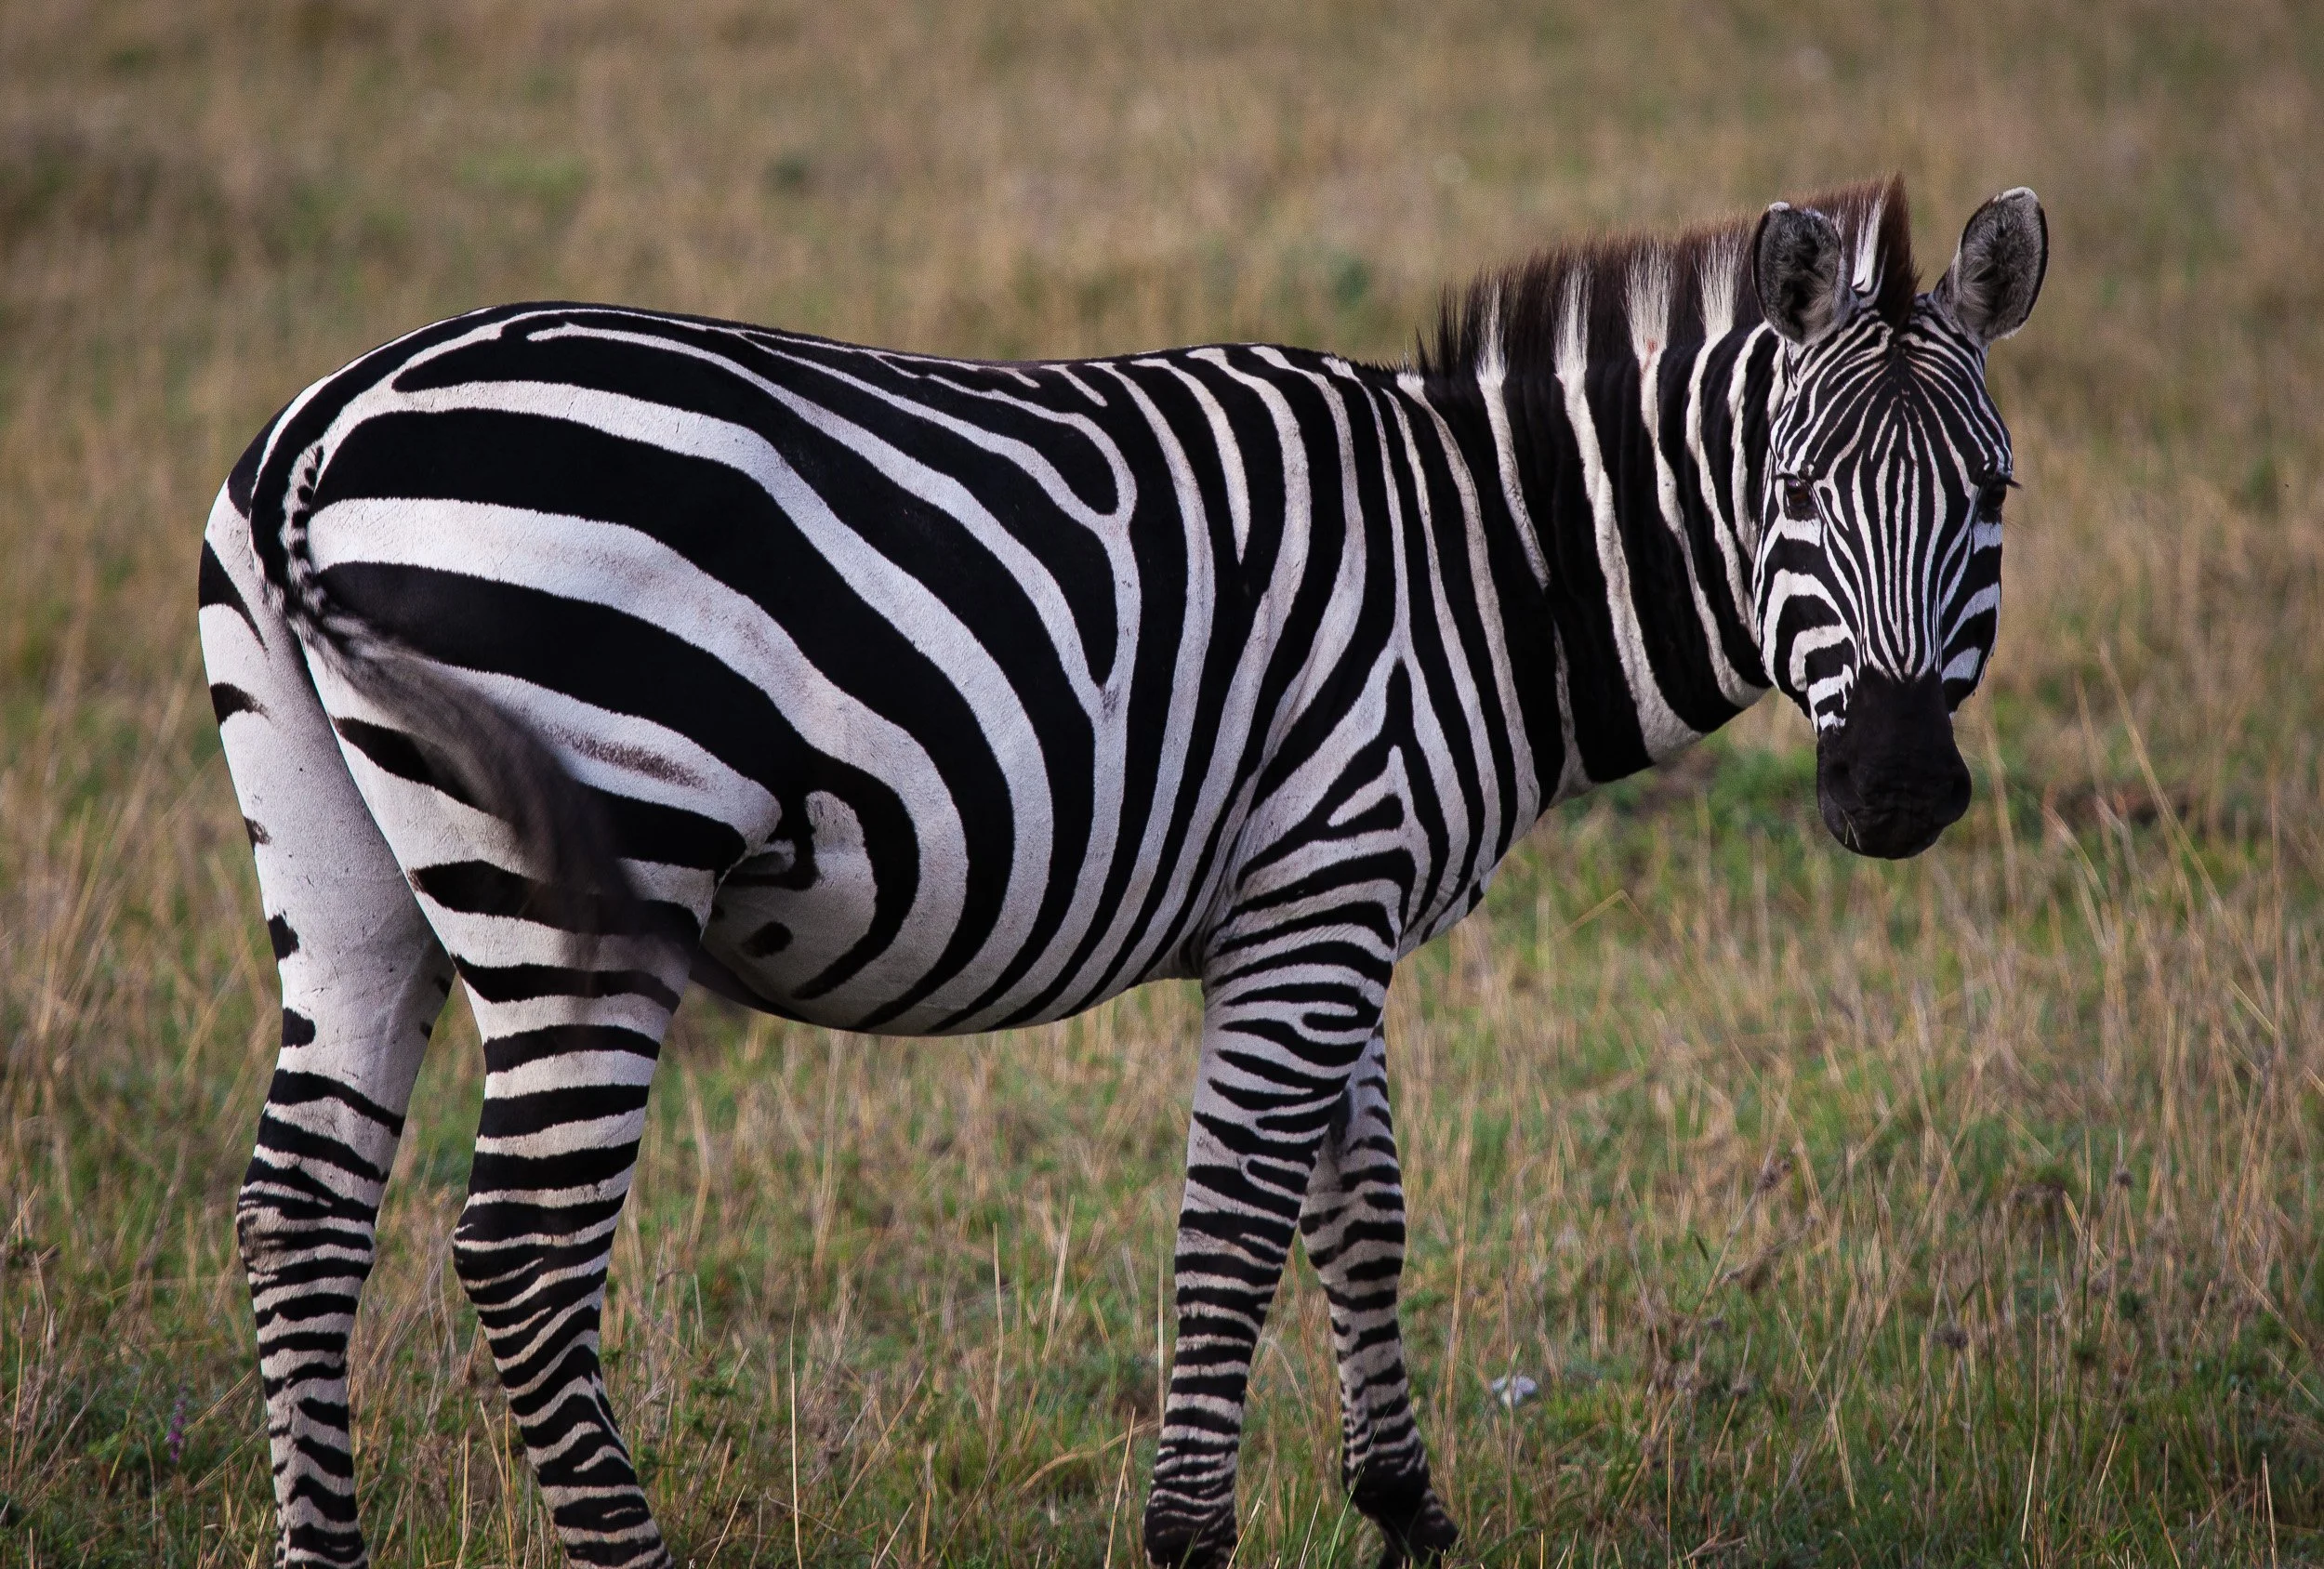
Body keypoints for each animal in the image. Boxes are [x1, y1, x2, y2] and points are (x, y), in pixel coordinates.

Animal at [199, 175, 2045, 1568]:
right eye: (1792, 490)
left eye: (1995, 492)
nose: (1895, 792)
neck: (1489, 561)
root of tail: (316, 438)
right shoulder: (1322, 892)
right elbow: (1238, 1224)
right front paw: (1194, 1536)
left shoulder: (1326, 894)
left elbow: (1360, 1212)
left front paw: (1405, 1513)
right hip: (597, 882)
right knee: (522, 1248)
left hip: (346, 877)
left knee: (299, 1207)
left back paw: (324, 1547)